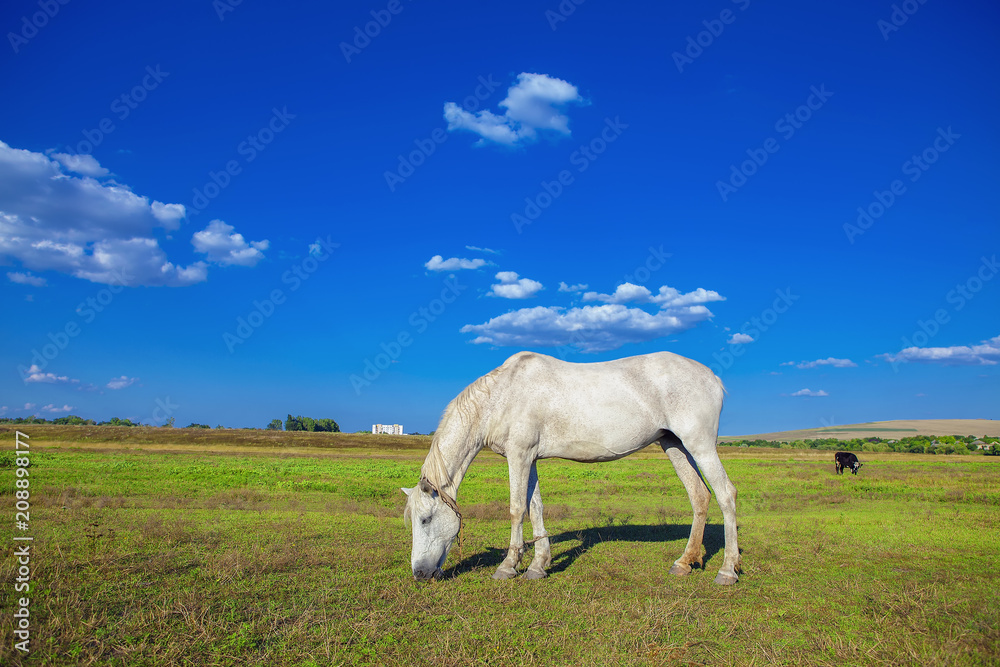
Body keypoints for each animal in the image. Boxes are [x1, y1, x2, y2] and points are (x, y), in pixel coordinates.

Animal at [402, 350, 741, 585]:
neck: (502, 396)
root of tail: (712, 377)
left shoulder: (518, 455)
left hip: (700, 445)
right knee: (700, 496)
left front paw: (508, 566)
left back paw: (727, 570)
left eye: (426, 519)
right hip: (674, 445)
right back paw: (685, 562)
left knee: (726, 495)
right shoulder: (530, 458)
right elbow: (535, 508)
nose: (419, 573)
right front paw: (538, 566)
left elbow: (516, 509)